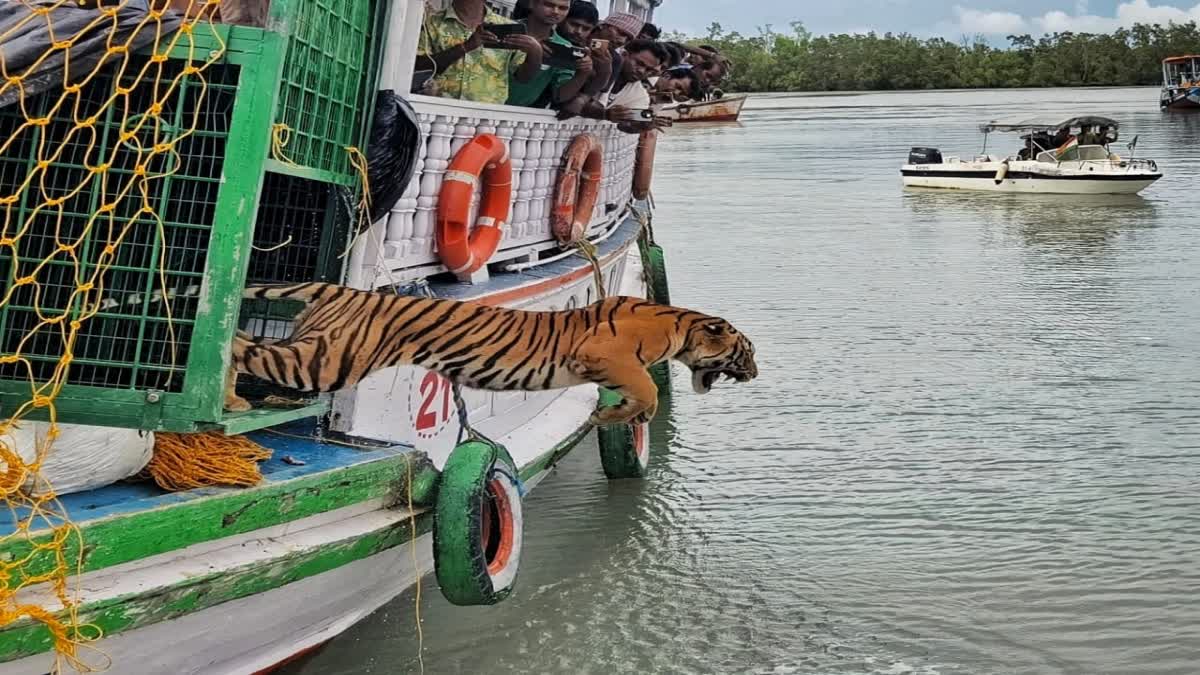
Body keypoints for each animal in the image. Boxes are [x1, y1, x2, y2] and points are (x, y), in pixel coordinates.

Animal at [226, 282, 758, 426]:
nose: (756, 373)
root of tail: (338, 288)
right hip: (326, 362)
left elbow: (637, 396)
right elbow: (649, 388)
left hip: (316, 346)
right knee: (240, 347)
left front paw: (619, 417)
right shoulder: (608, 355)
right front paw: (618, 417)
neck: (679, 324)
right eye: (745, 352)